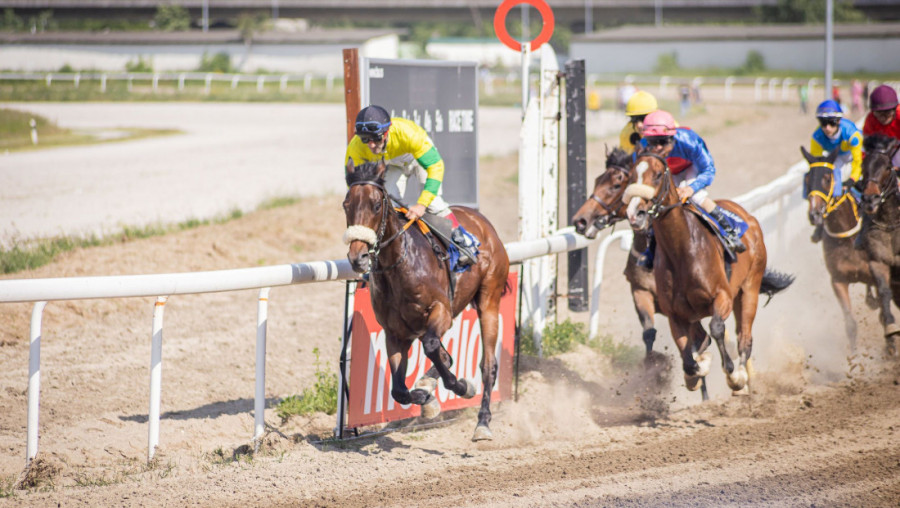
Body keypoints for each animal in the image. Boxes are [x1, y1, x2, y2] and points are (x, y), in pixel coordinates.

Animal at [342, 160, 512, 440]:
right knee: (446, 357)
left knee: (488, 365)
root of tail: (482, 221)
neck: (401, 265)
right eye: (346, 204)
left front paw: (460, 385)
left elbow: (432, 348)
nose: (358, 257)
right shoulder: (395, 332)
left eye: (376, 205)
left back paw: (483, 422)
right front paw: (426, 397)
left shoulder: (441, 311)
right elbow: (399, 390)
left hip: (489, 298)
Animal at [624, 151, 792, 396]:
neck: (682, 252)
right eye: (630, 176)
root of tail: (747, 217)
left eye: (657, 175)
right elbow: (688, 358)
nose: (635, 214)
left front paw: (733, 375)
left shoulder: (722, 297)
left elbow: (716, 328)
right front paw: (696, 371)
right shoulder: (675, 314)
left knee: (745, 338)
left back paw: (742, 379)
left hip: (749, 288)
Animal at [804, 144, 876, 350]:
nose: (814, 214)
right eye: (807, 179)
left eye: (828, 178)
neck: (848, 237)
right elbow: (850, 324)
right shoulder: (838, 280)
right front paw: (854, 356)